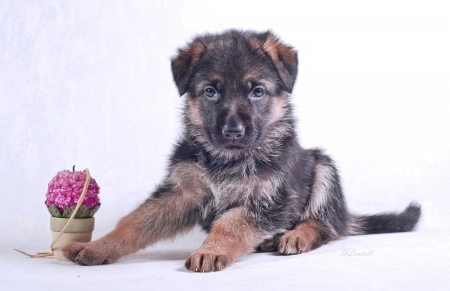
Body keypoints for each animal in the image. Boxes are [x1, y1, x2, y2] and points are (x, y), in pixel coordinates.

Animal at [63, 29, 422, 272]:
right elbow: (134, 222)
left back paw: (297, 236)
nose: (233, 131)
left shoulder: (270, 199)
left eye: (257, 91)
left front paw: (211, 250)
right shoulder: (181, 192)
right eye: (211, 92)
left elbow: (231, 223)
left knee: (326, 225)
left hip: (322, 166)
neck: (227, 159)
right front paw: (97, 247)